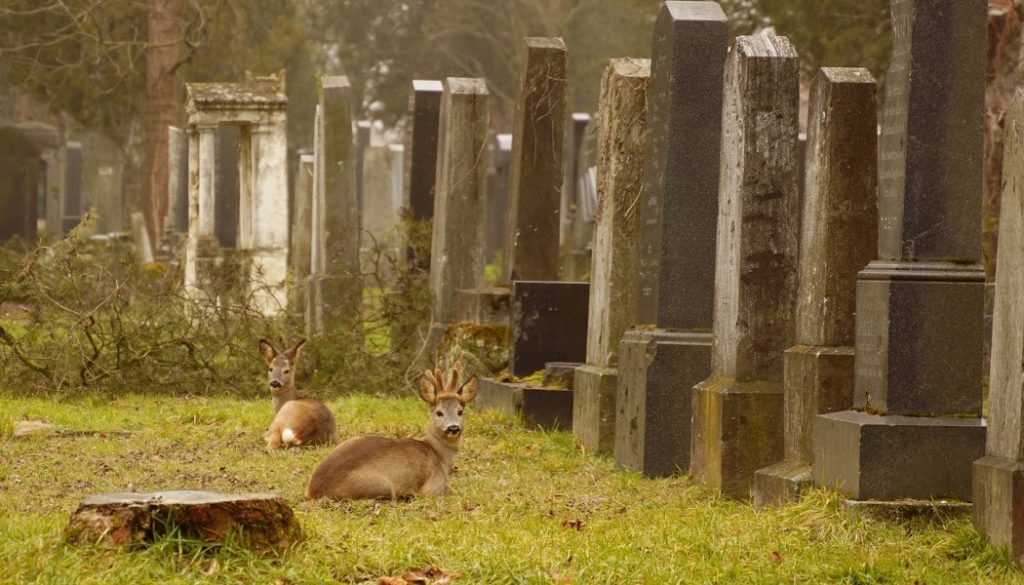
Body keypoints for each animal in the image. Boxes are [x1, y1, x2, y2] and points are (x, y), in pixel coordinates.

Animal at [305, 358, 477, 502]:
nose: (453, 428)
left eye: (460, 411)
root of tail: (313, 490)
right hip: (380, 486)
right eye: (439, 412)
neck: (439, 456)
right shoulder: (435, 486)